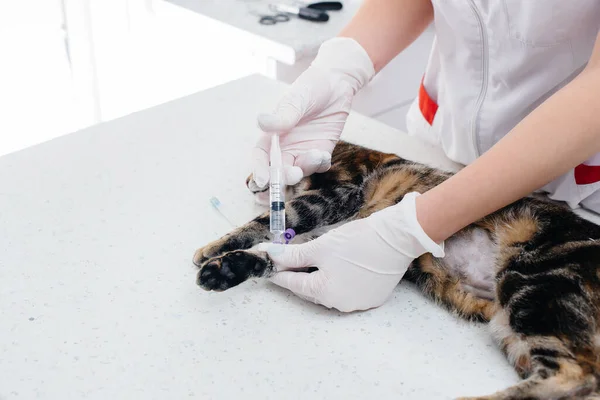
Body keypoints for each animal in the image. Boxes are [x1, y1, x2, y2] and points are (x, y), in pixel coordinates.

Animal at [192, 141, 600, 400]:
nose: (249, 180)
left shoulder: (338, 193)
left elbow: (271, 219)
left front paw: (212, 249)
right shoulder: (326, 253)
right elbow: (277, 256)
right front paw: (225, 268)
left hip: (535, 286)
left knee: (577, 375)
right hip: (511, 331)